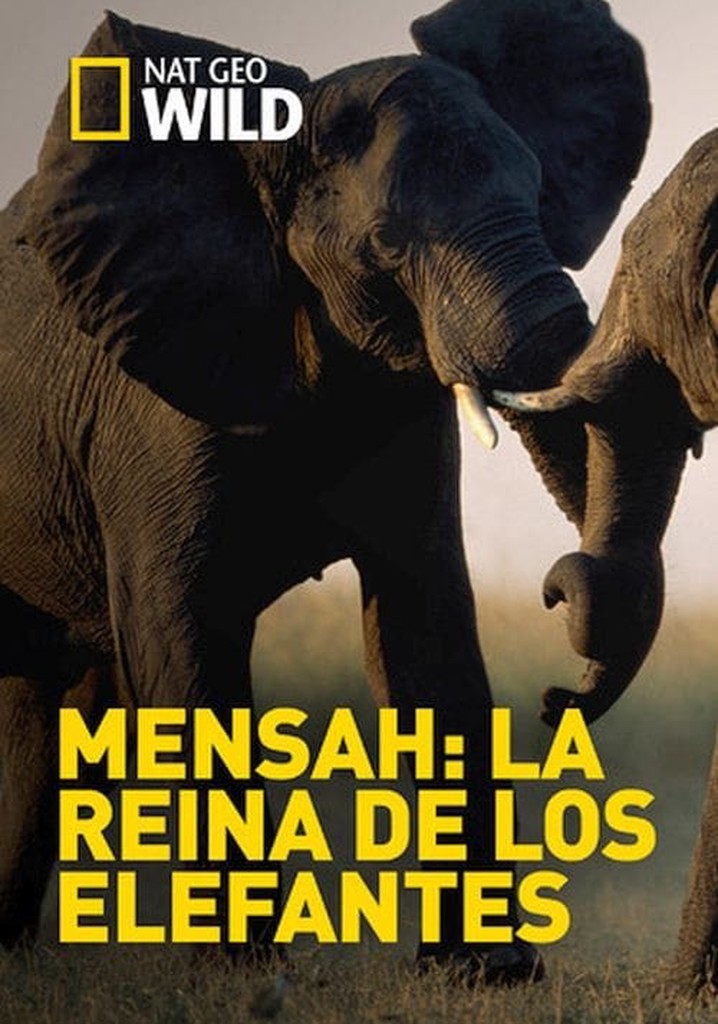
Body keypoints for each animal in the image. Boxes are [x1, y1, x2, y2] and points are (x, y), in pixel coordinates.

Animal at [0, 2, 650, 980]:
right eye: (385, 247)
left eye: (539, 197)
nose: (555, 698)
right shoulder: (150, 405)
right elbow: (178, 631)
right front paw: (239, 975)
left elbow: (429, 632)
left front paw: (486, 978)